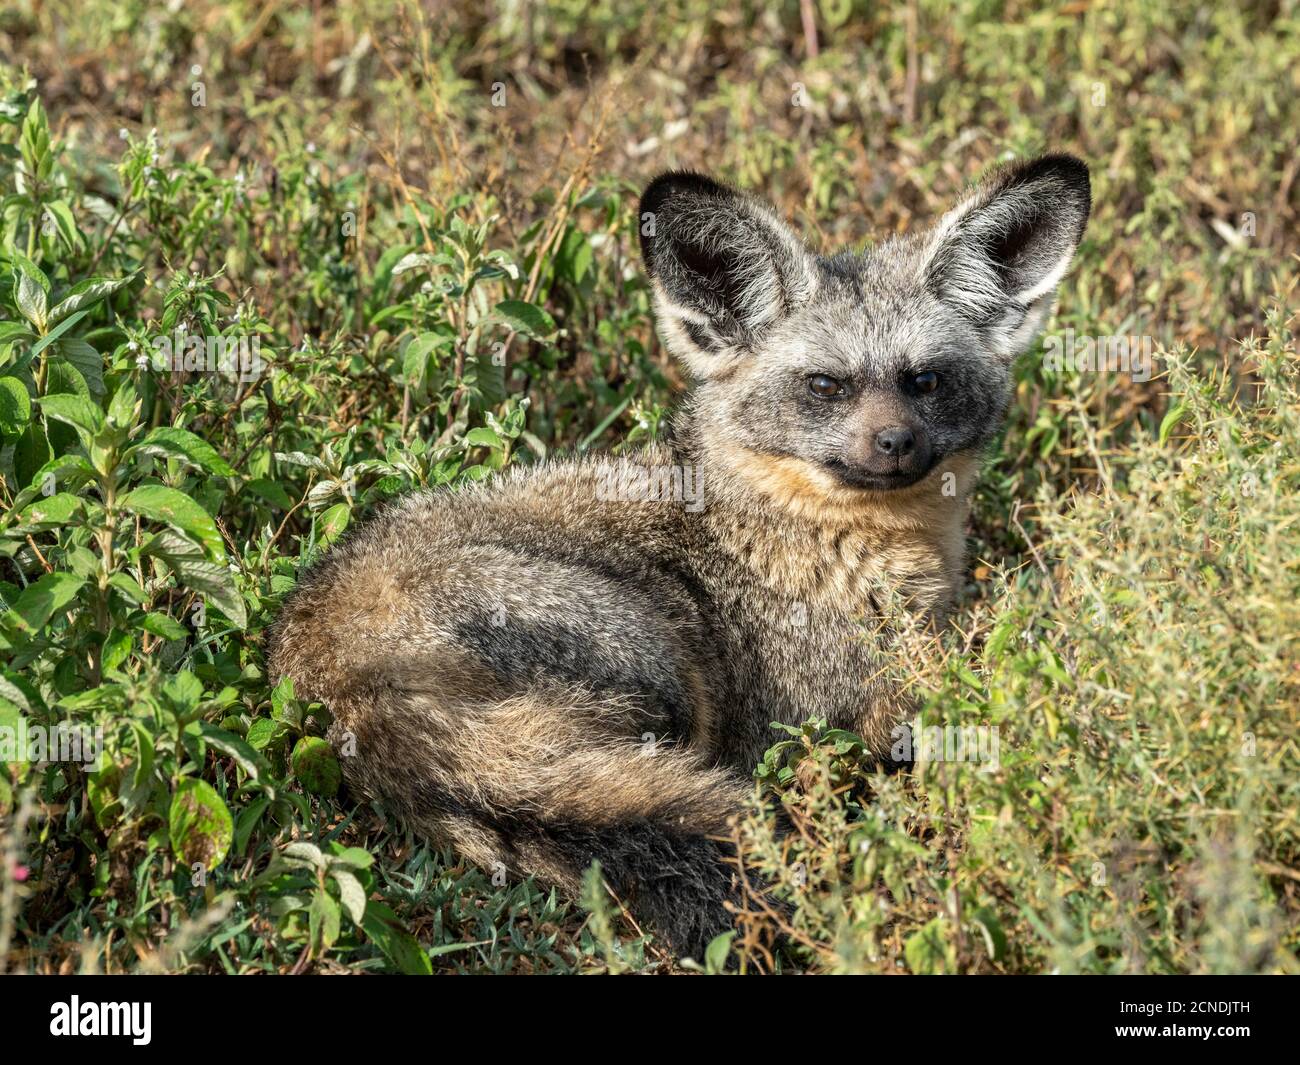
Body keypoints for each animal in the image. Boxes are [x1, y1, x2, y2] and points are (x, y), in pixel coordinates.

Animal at [267, 153, 1091, 957]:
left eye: (924, 380)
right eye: (826, 385)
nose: (895, 443)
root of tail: (342, 674)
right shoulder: (834, 713)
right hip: (659, 660)